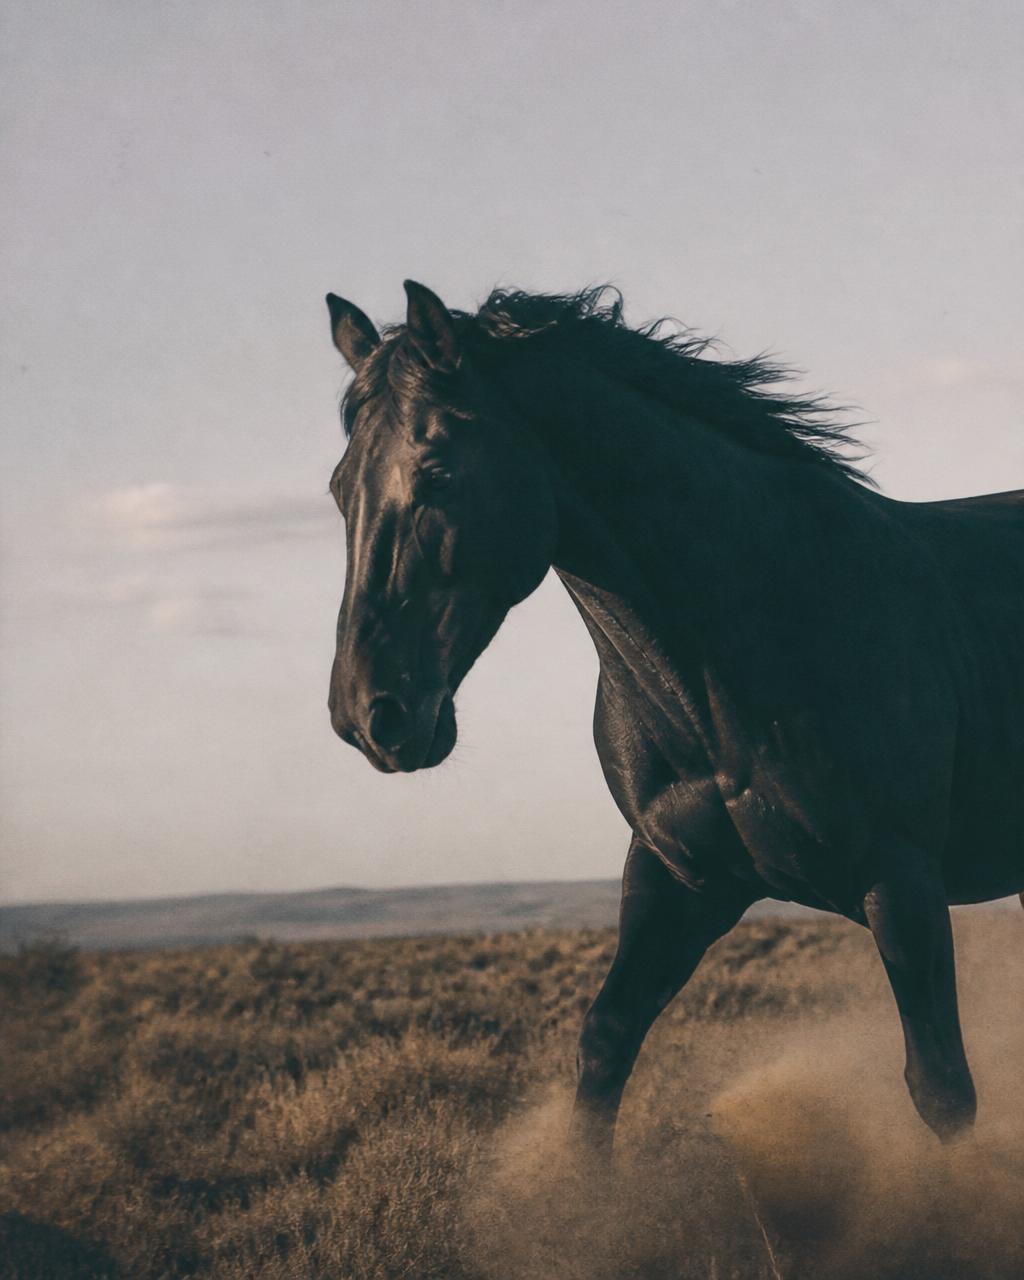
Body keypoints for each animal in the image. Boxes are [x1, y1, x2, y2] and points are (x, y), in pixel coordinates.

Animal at [323, 280, 1024, 1154]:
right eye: (338, 487)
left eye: (439, 471)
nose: (368, 715)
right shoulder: (677, 879)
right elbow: (605, 1045)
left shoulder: (901, 880)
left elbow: (942, 1088)